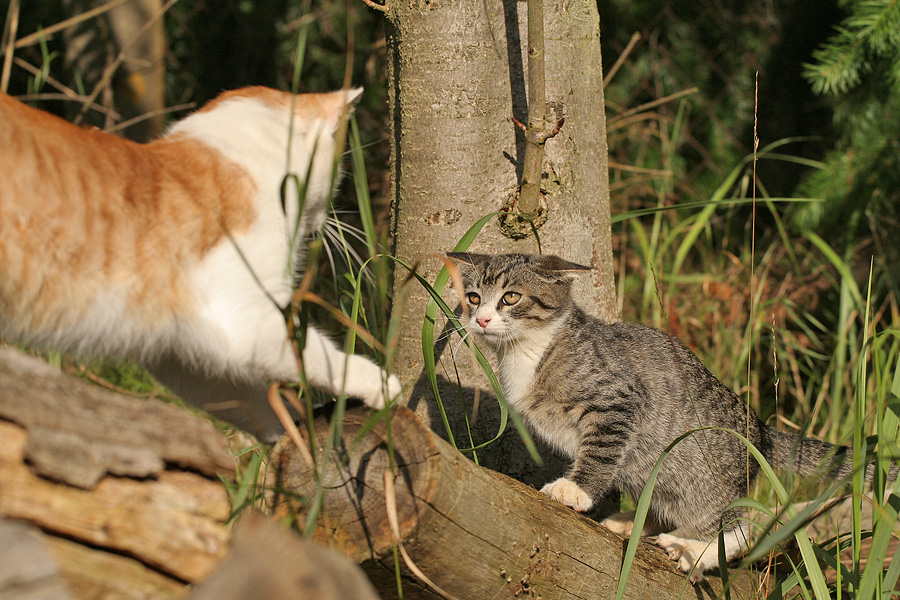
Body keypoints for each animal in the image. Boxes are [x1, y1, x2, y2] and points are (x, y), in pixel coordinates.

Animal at [0, 85, 400, 440]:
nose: (324, 219)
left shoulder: (174, 350)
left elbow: (247, 400)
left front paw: (296, 430)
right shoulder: (250, 320)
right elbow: (319, 357)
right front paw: (380, 384)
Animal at [450, 252, 892, 580]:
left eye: (510, 298)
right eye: (473, 297)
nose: (481, 319)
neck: (528, 350)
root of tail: (763, 430)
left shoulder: (619, 399)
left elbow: (601, 452)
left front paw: (577, 490)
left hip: (704, 474)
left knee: (742, 528)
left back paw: (695, 549)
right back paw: (634, 520)